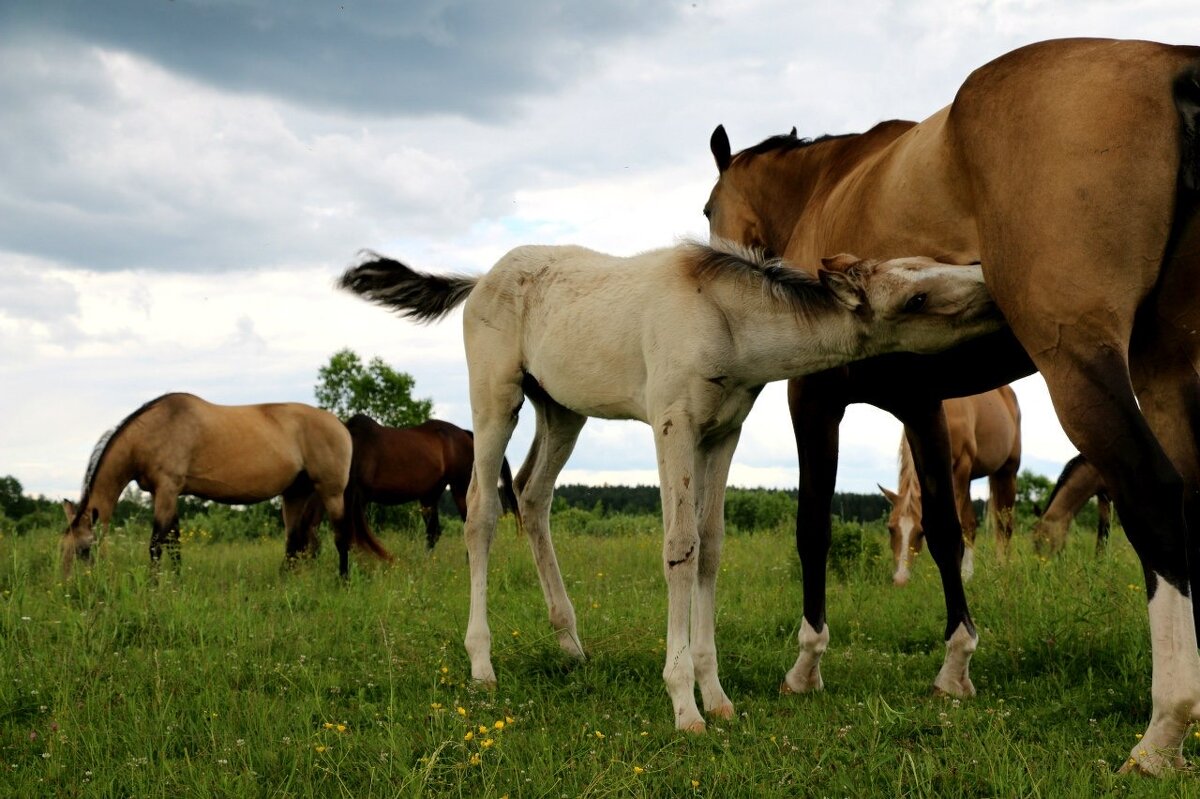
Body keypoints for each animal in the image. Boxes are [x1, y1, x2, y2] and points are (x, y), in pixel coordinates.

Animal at [60, 393, 388, 575]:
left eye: (84, 550)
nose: (70, 588)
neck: (154, 430)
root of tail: (341, 425)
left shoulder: (167, 490)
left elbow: (156, 544)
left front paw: (155, 587)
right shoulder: (167, 494)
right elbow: (174, 543)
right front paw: (175, 582)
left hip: (332, 493)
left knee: (341, 537)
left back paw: (342, 580)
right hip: (295, 494)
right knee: (294, 542)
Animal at [340, 236, 1003, 729]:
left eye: (932, 265)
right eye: (916, 296)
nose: (991, 286)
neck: (727, 322)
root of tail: (479, 279)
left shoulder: (723, 433)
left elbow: (710, 549)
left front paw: (718, 697)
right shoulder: (673, 424)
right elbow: (679, 547)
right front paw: (685, 703)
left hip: (561, 409)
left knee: (531, 494)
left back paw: (570, 643)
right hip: (496, 397)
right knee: (482, 510)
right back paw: (483, 666)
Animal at [883, 386, 1022, 585]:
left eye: (921, 532)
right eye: (890, 528)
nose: (901, 579)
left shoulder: (962, 466)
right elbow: (966, 524)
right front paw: (964, 575)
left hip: (1007, 473)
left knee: (1005, 525)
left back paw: (1003, 567)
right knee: (974, 524)